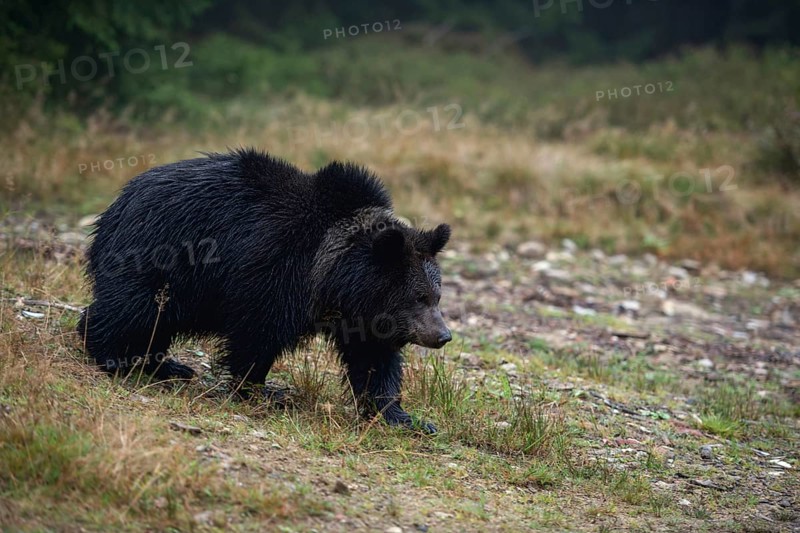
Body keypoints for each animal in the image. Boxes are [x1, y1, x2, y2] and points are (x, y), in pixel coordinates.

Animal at [77, 148, 452, 433]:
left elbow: (374, 362)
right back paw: (114, 356)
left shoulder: (362, 317)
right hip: (160, 257)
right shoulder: (272, 270)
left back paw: (167, 365)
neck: (333, 278)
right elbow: (257, 335)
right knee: (134, 311)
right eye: (418, 297)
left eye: (436, 296)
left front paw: (405, 418)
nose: (443, 335)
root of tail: (115, 206)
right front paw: (261, 390)